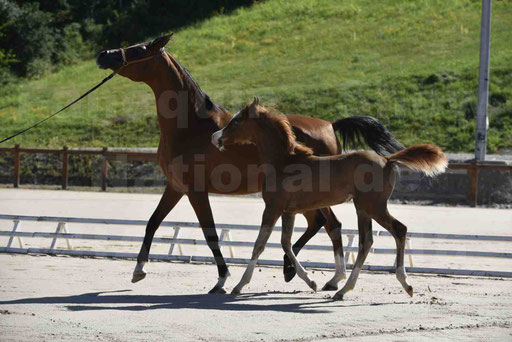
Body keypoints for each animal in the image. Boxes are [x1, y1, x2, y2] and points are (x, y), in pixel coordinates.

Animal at [96, 33, 404, 292]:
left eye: (138, 49)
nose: (103, 55)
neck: (191, 126)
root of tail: (330, 124)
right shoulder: (175, 187)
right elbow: (152, 223)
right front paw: (138, 270)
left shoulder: (196, 191)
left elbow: (210, 233)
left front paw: (223, 279)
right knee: (328, 225)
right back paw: (321, 276)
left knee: (328, 224)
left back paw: (305, 273)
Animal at [210, 97, 446, 298]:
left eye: (236, 121)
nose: (215, 137)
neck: (283, 162)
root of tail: (388, 159)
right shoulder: (289, 211)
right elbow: (286, 243)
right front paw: (310, 281)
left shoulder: (272, 208)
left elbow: (260, 244)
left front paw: (240, 285)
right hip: (363, 208)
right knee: (366, 241)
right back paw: (343, 289)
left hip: (373, 206)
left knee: (397, 230)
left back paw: (404, 283)